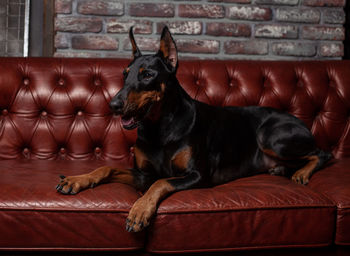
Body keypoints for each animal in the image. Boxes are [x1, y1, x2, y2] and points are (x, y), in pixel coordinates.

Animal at [56, 26, 332, 232]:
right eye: (125, 74)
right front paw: (77, 179)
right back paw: (281, 169)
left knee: (323, 153)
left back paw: (301, 173)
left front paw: (140, 210)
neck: (160, 127)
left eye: (147, 75)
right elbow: (107, 168)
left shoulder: (198, 175)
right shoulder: (143, 174)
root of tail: (299, 122)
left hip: (270, 136)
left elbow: (161, 182)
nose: (113, 105)